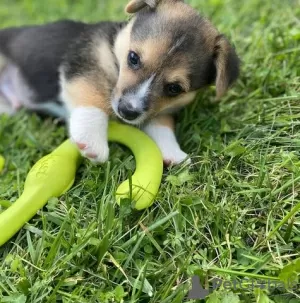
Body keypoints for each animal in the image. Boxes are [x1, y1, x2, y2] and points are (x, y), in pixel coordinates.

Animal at [0, 0, 239, 165]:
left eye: (174, 88)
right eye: (133, 58)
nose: (127, 112)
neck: (116, 47)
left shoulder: (157, 109)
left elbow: (162, 124)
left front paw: (175, 154)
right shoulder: (85, 65)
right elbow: (94, 98)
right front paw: (92, 141)